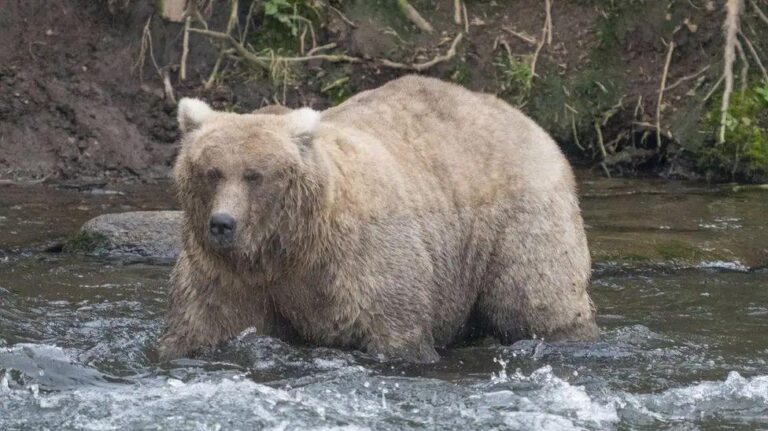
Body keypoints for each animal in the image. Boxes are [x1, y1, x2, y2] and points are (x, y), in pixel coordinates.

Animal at [158, 75, 598, 363]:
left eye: (254, 175)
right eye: (211, 171)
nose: (223, 223)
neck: (289, 247)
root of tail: (526, 119)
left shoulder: (360, 260)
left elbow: (394, 328)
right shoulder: (228, 275)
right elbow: (202, 324)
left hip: (519, 218)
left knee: (534, 297)